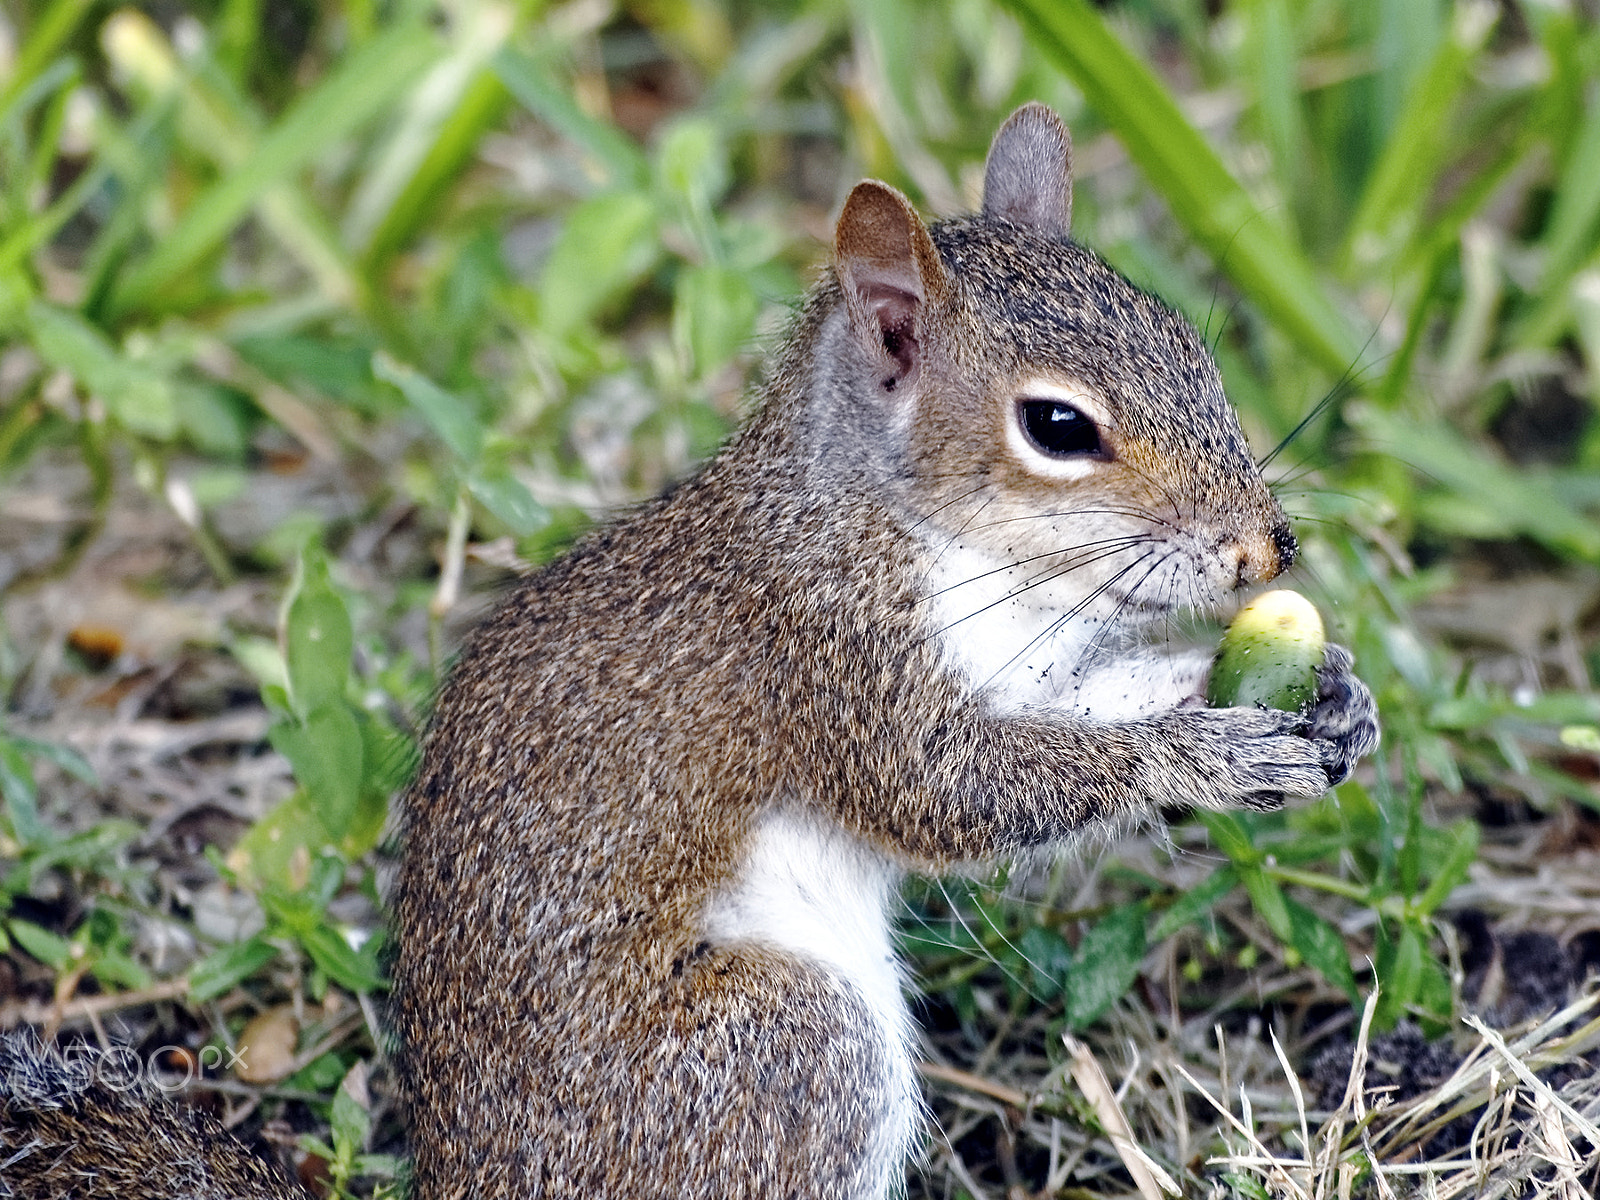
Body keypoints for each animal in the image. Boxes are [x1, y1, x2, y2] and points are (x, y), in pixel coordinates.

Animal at [1, 104, 1376, 1199]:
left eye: (1192, 347)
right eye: (1056, 427)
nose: (1266, 549)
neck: (910, 528)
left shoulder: (1030, 657)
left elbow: (1090, 700)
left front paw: (1327, 700)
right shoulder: (827, 656)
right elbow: (949, 791)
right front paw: (1196, 754)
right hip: (782, 1047)